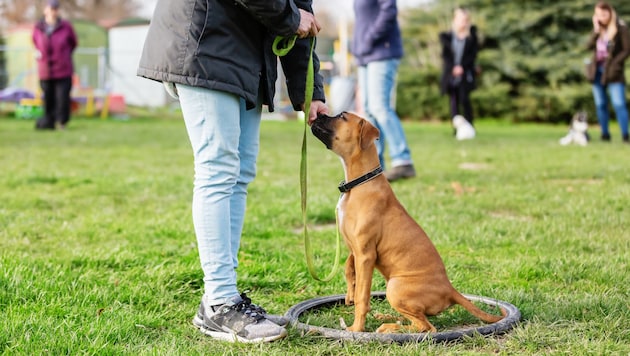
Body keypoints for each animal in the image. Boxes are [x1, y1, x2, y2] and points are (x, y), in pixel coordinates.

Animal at [312, 112, 508, 332]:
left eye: (342, 116)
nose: (318, 114)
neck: (360, 183)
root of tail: (450, 290)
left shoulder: (366, 254)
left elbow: (363, 296)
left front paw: (356, 329)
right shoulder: (355, 248)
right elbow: (348, 268)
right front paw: (349, 294)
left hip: (395, 287)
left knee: (425, 327)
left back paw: (389, 328)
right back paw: (387, 318)